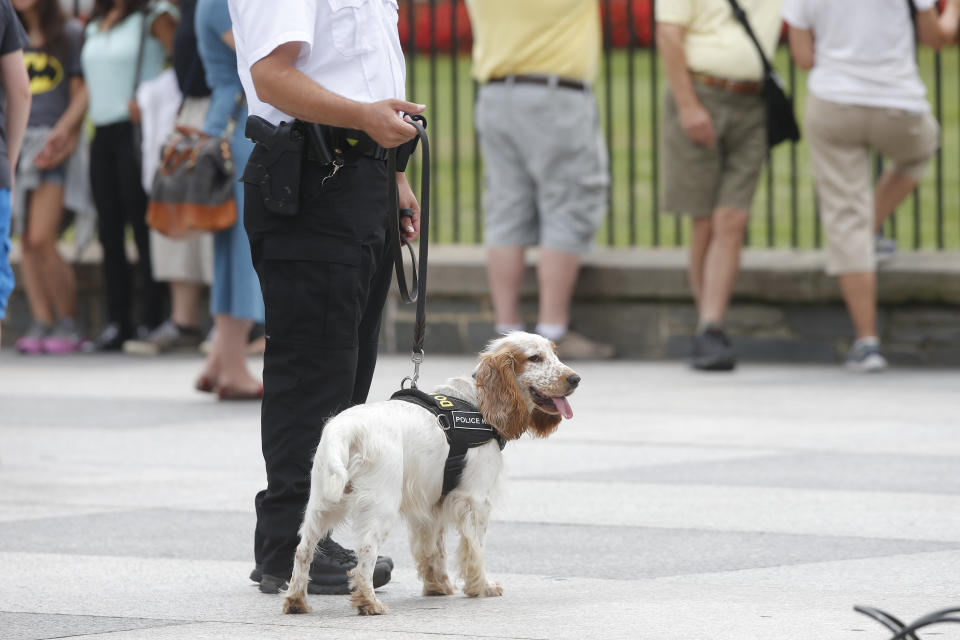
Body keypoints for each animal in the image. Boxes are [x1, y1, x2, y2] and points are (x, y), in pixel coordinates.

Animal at [278, 330, 576, 616]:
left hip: (321, 503)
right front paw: (482, 586)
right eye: (535, 358)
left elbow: (433, 549)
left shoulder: (432, 503)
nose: (575, 379)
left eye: (554, 353)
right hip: (380, 506)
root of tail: (346, 430)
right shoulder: (475, 500)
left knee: (303, 550)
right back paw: (368, 602)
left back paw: (296, 601)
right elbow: (475, 548)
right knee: (365, 554)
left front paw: (438, 587)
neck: (478, 402)